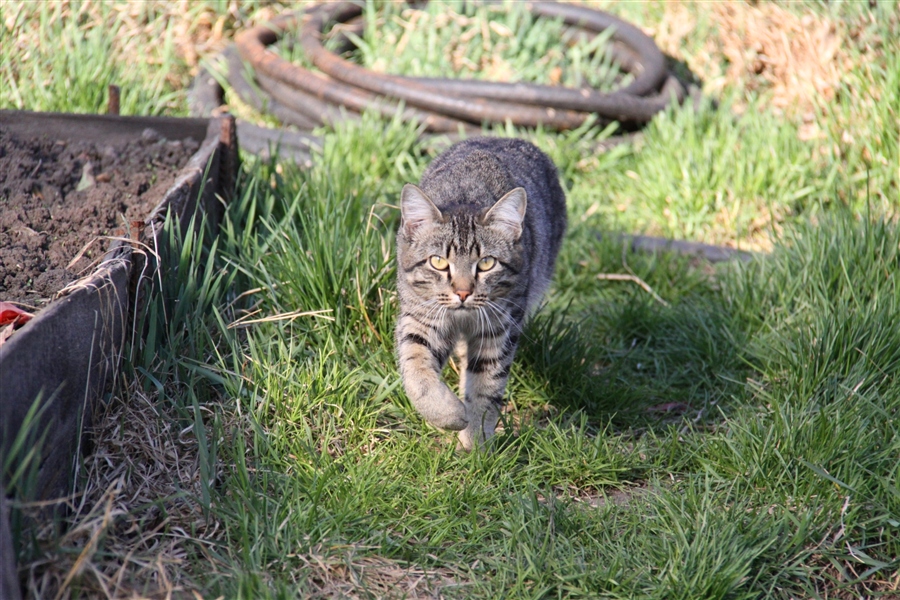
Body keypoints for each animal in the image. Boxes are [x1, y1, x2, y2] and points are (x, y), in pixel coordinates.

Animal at [398, 137, 568, 450]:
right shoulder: (421, 318)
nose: (463, 292)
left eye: (487, 263)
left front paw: (476, 442)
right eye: (438, 262)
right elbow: (416, 369)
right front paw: (447, 414)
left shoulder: (500, 326)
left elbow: (486, 385)